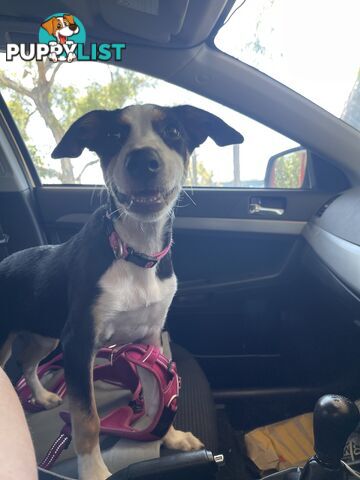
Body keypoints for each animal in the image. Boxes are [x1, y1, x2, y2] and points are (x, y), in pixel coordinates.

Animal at [0, 103, 245, 478]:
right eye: (114, 135)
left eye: (173, 132)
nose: (143, 161)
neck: (134, 252)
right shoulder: (79, 343)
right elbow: (87, 419)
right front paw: (94, 471)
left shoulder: (149, 339)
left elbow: (158, 398)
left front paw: (169, 436)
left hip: (45, 335)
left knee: (27, 363)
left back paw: (41, 397)